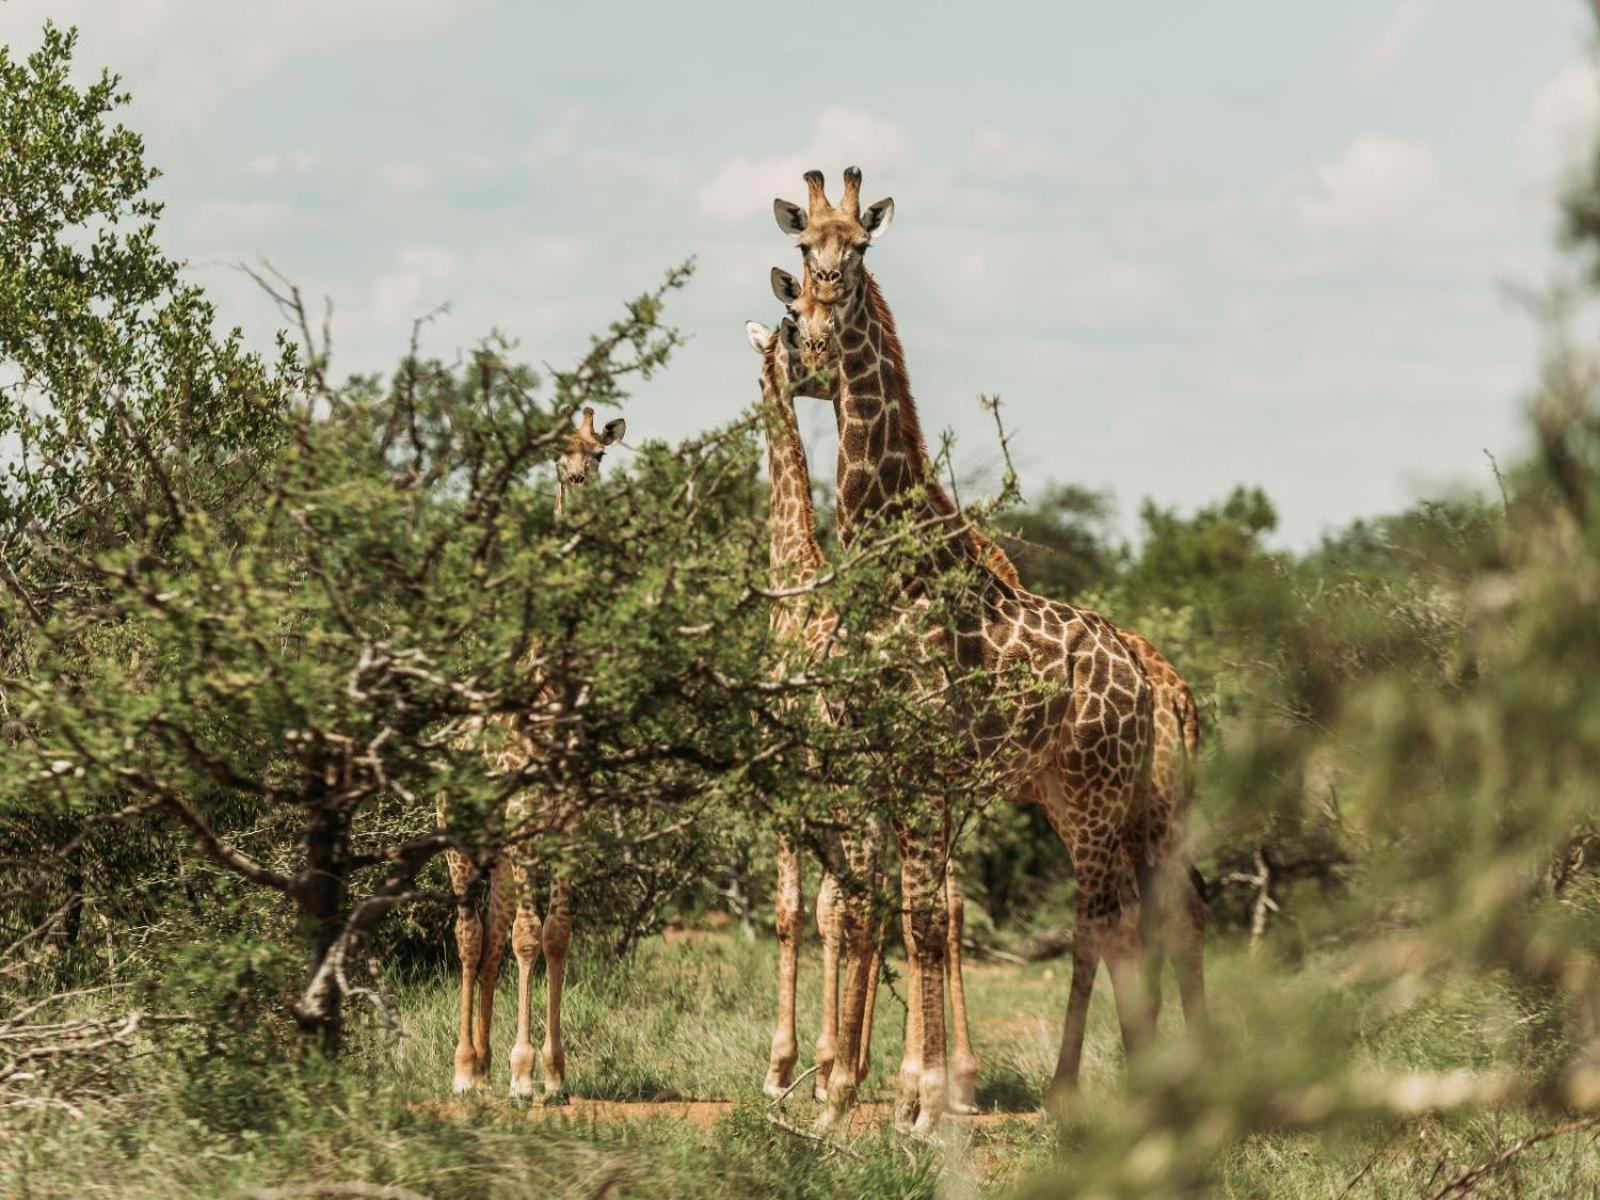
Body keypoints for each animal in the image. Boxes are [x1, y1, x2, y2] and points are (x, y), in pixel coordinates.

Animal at [448, 409, 627, 1107]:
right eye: (555, 455)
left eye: (599, 455)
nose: (577, 481)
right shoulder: (526, 819)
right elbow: (528, 939)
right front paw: (525, 1075)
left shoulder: (569, 824)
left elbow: (554, 937)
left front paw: (554, 1072)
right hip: (459, 838)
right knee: (470, 939)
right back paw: (464, 1071)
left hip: (497, 851)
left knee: (492, 940)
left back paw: (483, 1065)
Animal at [764, 171, 1158, 1139]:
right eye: (803, 252)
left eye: (859, 249)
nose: (812, 336)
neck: (889, 558)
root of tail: (1142, 677)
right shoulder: (879, 764)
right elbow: (875, 912)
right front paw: (842, 1101)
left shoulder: (919, 764)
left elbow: (919, 919)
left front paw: (924, 1106)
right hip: (1066, 796)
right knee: (1120, 920)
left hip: (1095, 796)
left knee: (1105, 923)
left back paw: (1086, 1092)